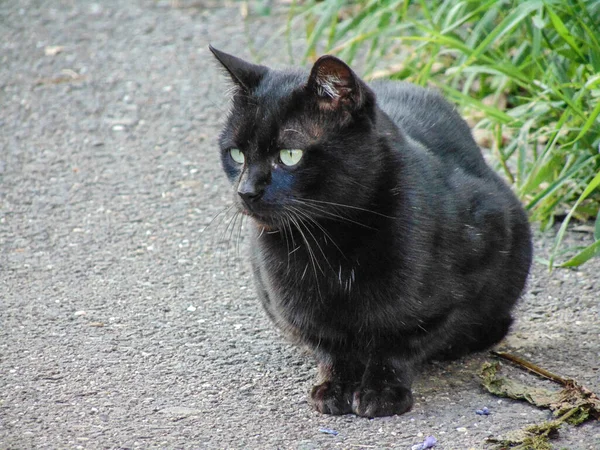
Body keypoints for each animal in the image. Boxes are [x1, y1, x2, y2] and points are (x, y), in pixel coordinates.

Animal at [210, 45, 528, 418]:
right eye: (236, 153)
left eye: (289, 155)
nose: (246, 191)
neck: (329, 239)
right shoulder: (300, 311)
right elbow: (332, 348)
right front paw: (334, 387)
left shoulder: (481, 249)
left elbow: (399, 344)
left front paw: (383, 391)